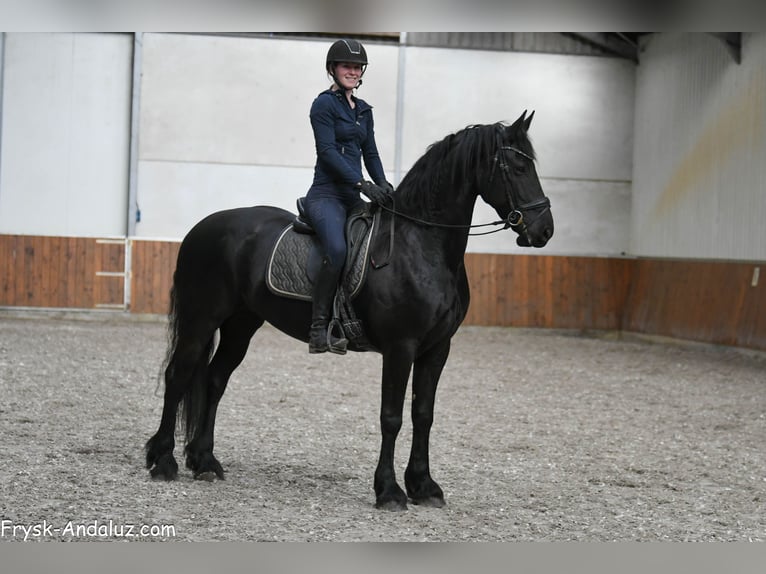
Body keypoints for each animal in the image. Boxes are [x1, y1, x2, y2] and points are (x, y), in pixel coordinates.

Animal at [145, 110, 554, 511]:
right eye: (518, 167)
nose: (543, 230)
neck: (420, 245)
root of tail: (202, 226)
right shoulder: (401, 347)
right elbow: (391, 417)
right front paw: (389, 491)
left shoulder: (437, 348)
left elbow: (423, 415)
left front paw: (424, 486)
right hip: (201, 319)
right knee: (178, 375)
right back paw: (163, 461)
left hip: (241, 323)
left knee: (215, 380)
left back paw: (204, 462)